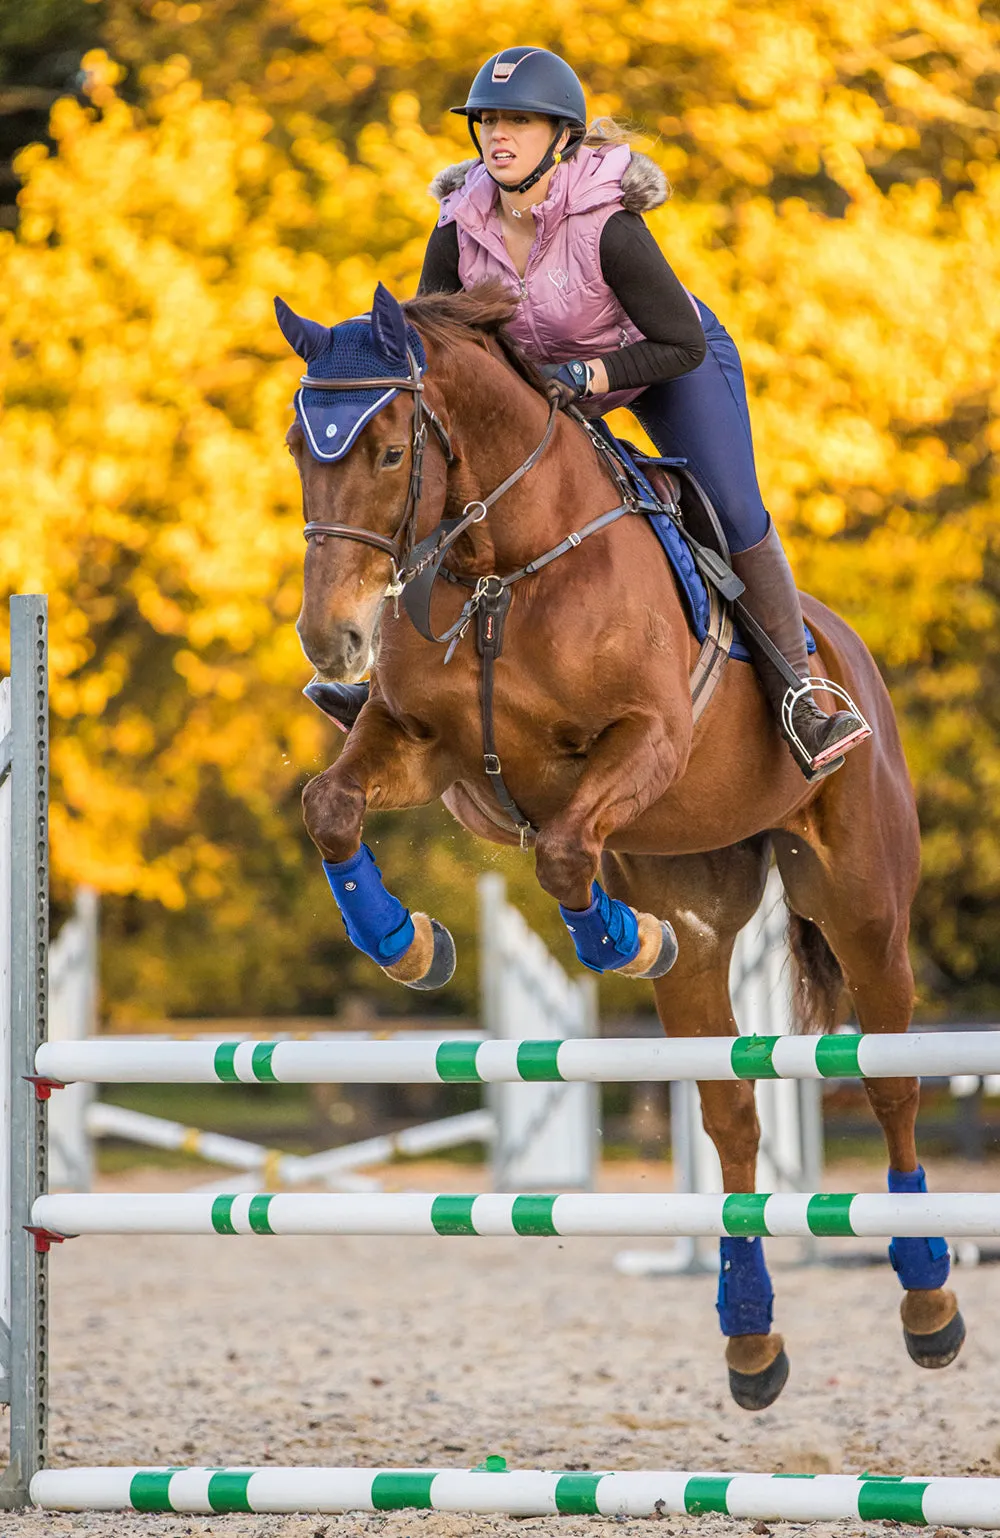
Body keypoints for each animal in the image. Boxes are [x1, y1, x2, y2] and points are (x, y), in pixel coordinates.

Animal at [276, 282, 960, 1408]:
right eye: (300, 444)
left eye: (389, 450)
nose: (331, 640)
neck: (501, 566)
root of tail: (851, 654)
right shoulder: (419, 748)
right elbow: (331, 805)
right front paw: (409, 944)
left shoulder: (646, 739)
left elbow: (561, 850)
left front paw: (616, 939)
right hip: (708, 909)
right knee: (731, 1109)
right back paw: (750, 1336)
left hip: (862, 903)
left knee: (893, 1083)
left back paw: (929, 1300)